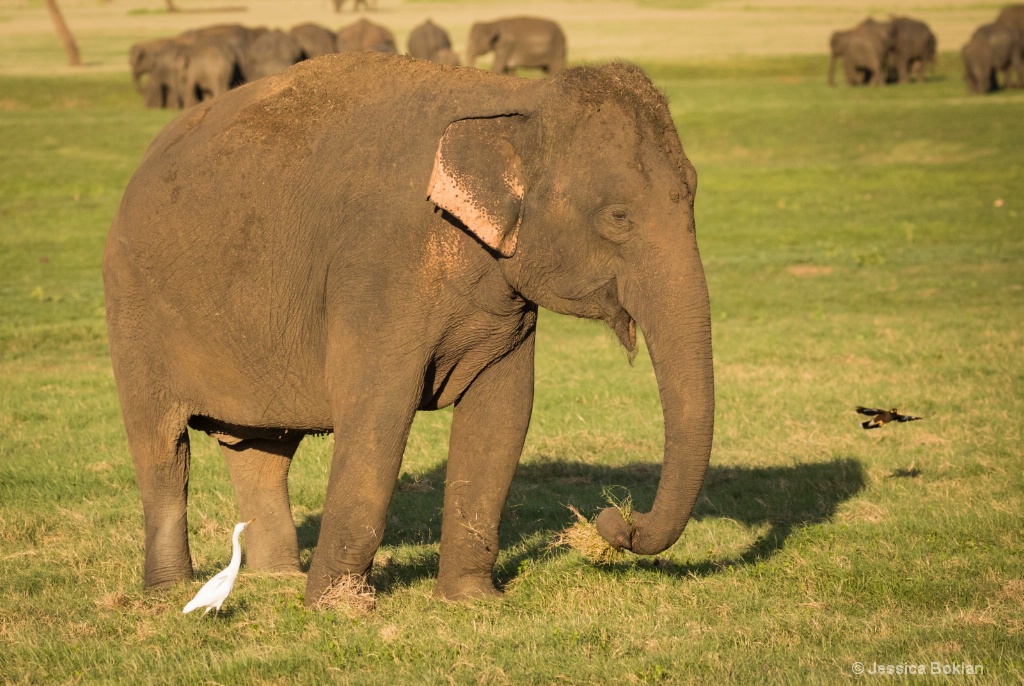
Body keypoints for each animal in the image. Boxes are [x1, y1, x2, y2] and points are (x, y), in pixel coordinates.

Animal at [103, 52, 712, 606]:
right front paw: (340, 609)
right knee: (163, 451)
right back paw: (171, 589)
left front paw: (471, 601)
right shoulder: (377, 270)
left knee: (260, 450)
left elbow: (504, 411)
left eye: (694, 192)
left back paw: (277, 578)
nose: (614, 520)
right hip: (133, 308)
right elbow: (379, 410)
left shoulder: (504, 296)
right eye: (618, 217)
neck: (512, 99)